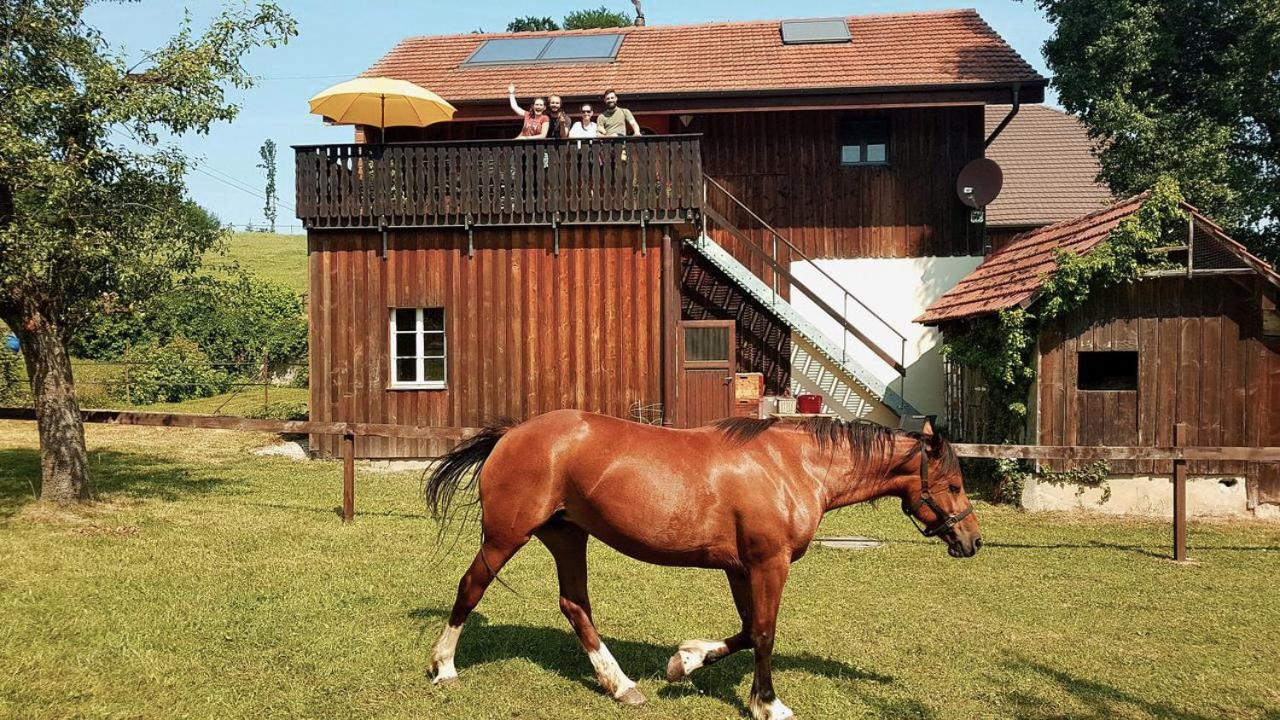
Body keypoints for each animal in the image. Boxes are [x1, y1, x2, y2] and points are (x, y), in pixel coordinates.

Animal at [424, 409, 980, 720]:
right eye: (953, 485)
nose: (972, 540)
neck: (793, 466)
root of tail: (511, 434)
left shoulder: (740, 567)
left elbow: (747, 630)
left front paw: (684, 662)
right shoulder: (769, 563)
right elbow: (764, 634)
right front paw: (767, 704)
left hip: (568, 536)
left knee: (575, 604)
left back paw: (621, 686)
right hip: (505, 537)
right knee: (470, 587)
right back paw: (444, 667)